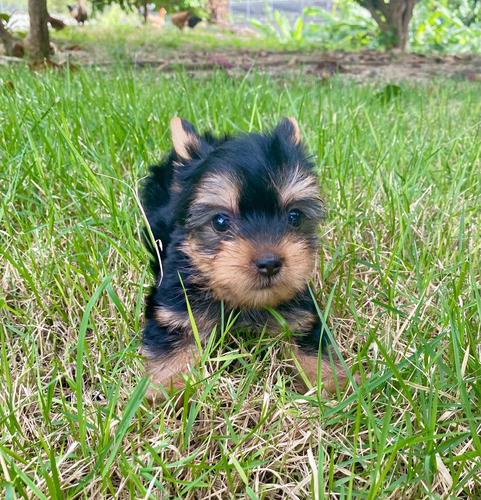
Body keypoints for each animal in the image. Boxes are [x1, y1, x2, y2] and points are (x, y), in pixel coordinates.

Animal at [142, 115, 348, 400]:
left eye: (295, 216)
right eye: (220, 221)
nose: (269, 263)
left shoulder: (303, 313)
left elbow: (312, 345)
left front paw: (334, 386)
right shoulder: (174, 309)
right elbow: (174, 343)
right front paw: (169, 390)